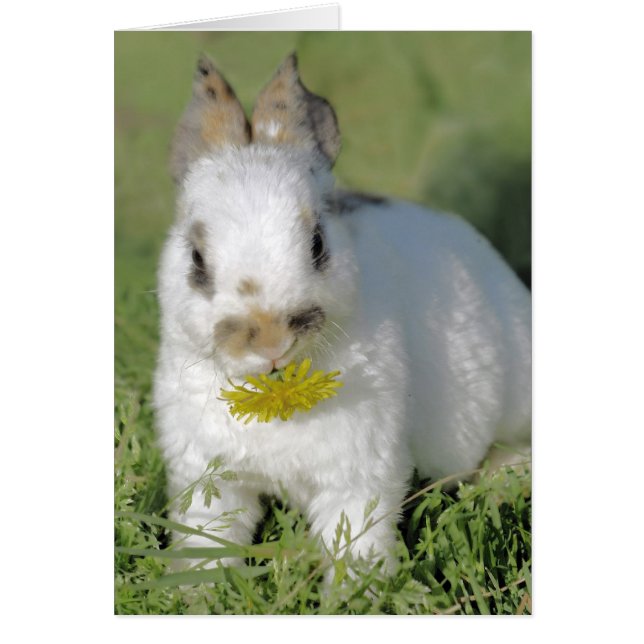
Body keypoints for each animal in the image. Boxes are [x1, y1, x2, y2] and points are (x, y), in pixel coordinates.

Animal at [153, 53, 531, 575]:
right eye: (196, 259)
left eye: (317, 244)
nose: (270, 340)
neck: (275, 391)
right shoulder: (209, 477)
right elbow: (207, 539)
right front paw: (196, 587)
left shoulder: (359, 476)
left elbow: (356, 539)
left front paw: (362, 587)